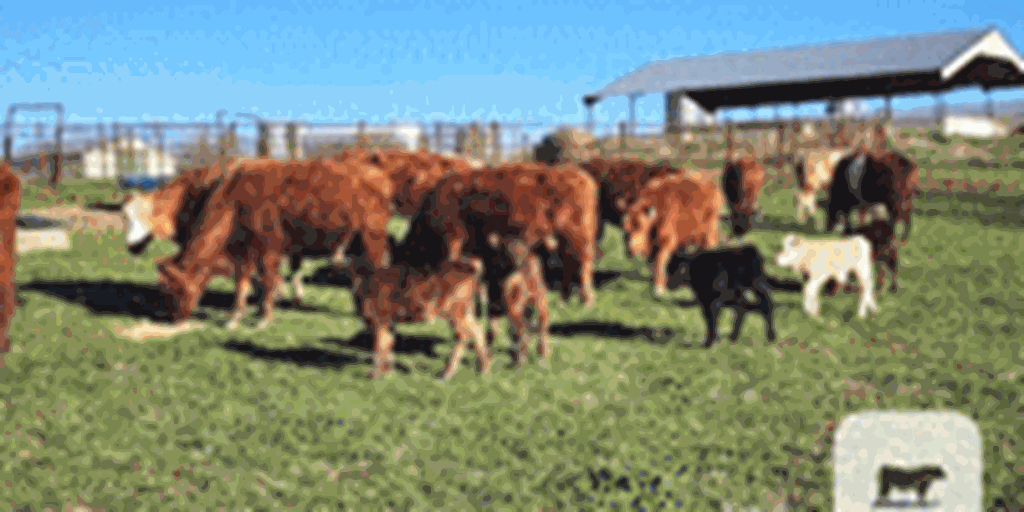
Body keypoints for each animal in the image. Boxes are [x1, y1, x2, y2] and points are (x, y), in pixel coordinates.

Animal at [156, 157, 394, 329]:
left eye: (175, 291)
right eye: (163, 289)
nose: (173, 319)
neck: (235, 199)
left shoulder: (270, 248)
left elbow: (268, 282)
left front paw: (263, 319)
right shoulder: (243, 252)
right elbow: (242, 284)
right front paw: (235, 318)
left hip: (373, 239)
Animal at [397, 162, 600, 308]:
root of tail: (581, 175)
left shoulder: (454, 240)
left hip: (576, 237)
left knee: (583, 264)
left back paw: (586, 300)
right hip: (565, 240)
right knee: (570, 263)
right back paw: (565, 299)